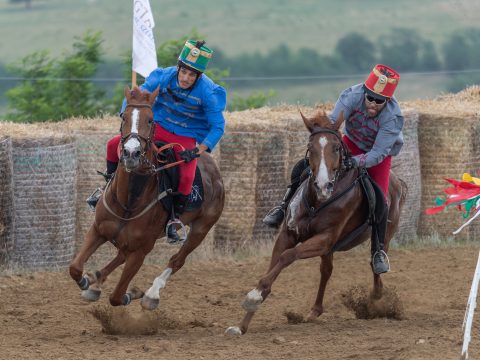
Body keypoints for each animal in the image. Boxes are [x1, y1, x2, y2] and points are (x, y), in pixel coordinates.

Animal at [69, 86, 225, 308]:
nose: (131, 153)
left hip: (201, 229)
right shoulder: (98, 230)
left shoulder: (141, 251)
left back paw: (152, 294)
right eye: (123, 116)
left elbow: (117, 297)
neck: (129, 202)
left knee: (177, 260)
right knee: (120, 254)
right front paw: (85, 280)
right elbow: (74, 268)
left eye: (151, 119)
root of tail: (216, 173)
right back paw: (95, 282)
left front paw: (132, 294)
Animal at [225, 111, 404, 336]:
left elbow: (288, 256)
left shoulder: (324, 239)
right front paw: (242, 323)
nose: (323, 185)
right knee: (326, 271)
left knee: (375, 264)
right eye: (311, 148)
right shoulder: (289, 235)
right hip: (329, 250)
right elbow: (273, 267)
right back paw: (315, 311)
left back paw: (376, 297)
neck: (317, 201)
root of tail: (398, 181)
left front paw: (253, 297)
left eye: (336, 148)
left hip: (383, 236)